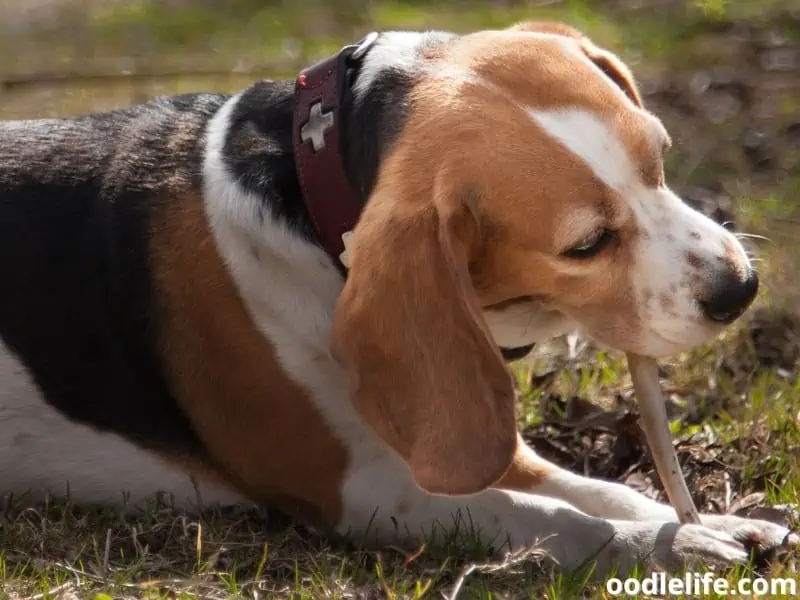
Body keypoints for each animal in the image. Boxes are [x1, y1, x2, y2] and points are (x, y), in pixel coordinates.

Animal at [0, 22, 792, 576]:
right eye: (587, 244)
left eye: (658, 158)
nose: (741, 288)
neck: (311, 195)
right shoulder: (363, 488)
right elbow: (554, 516)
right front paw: (669, 546)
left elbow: (601, 490)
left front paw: (704, 525)